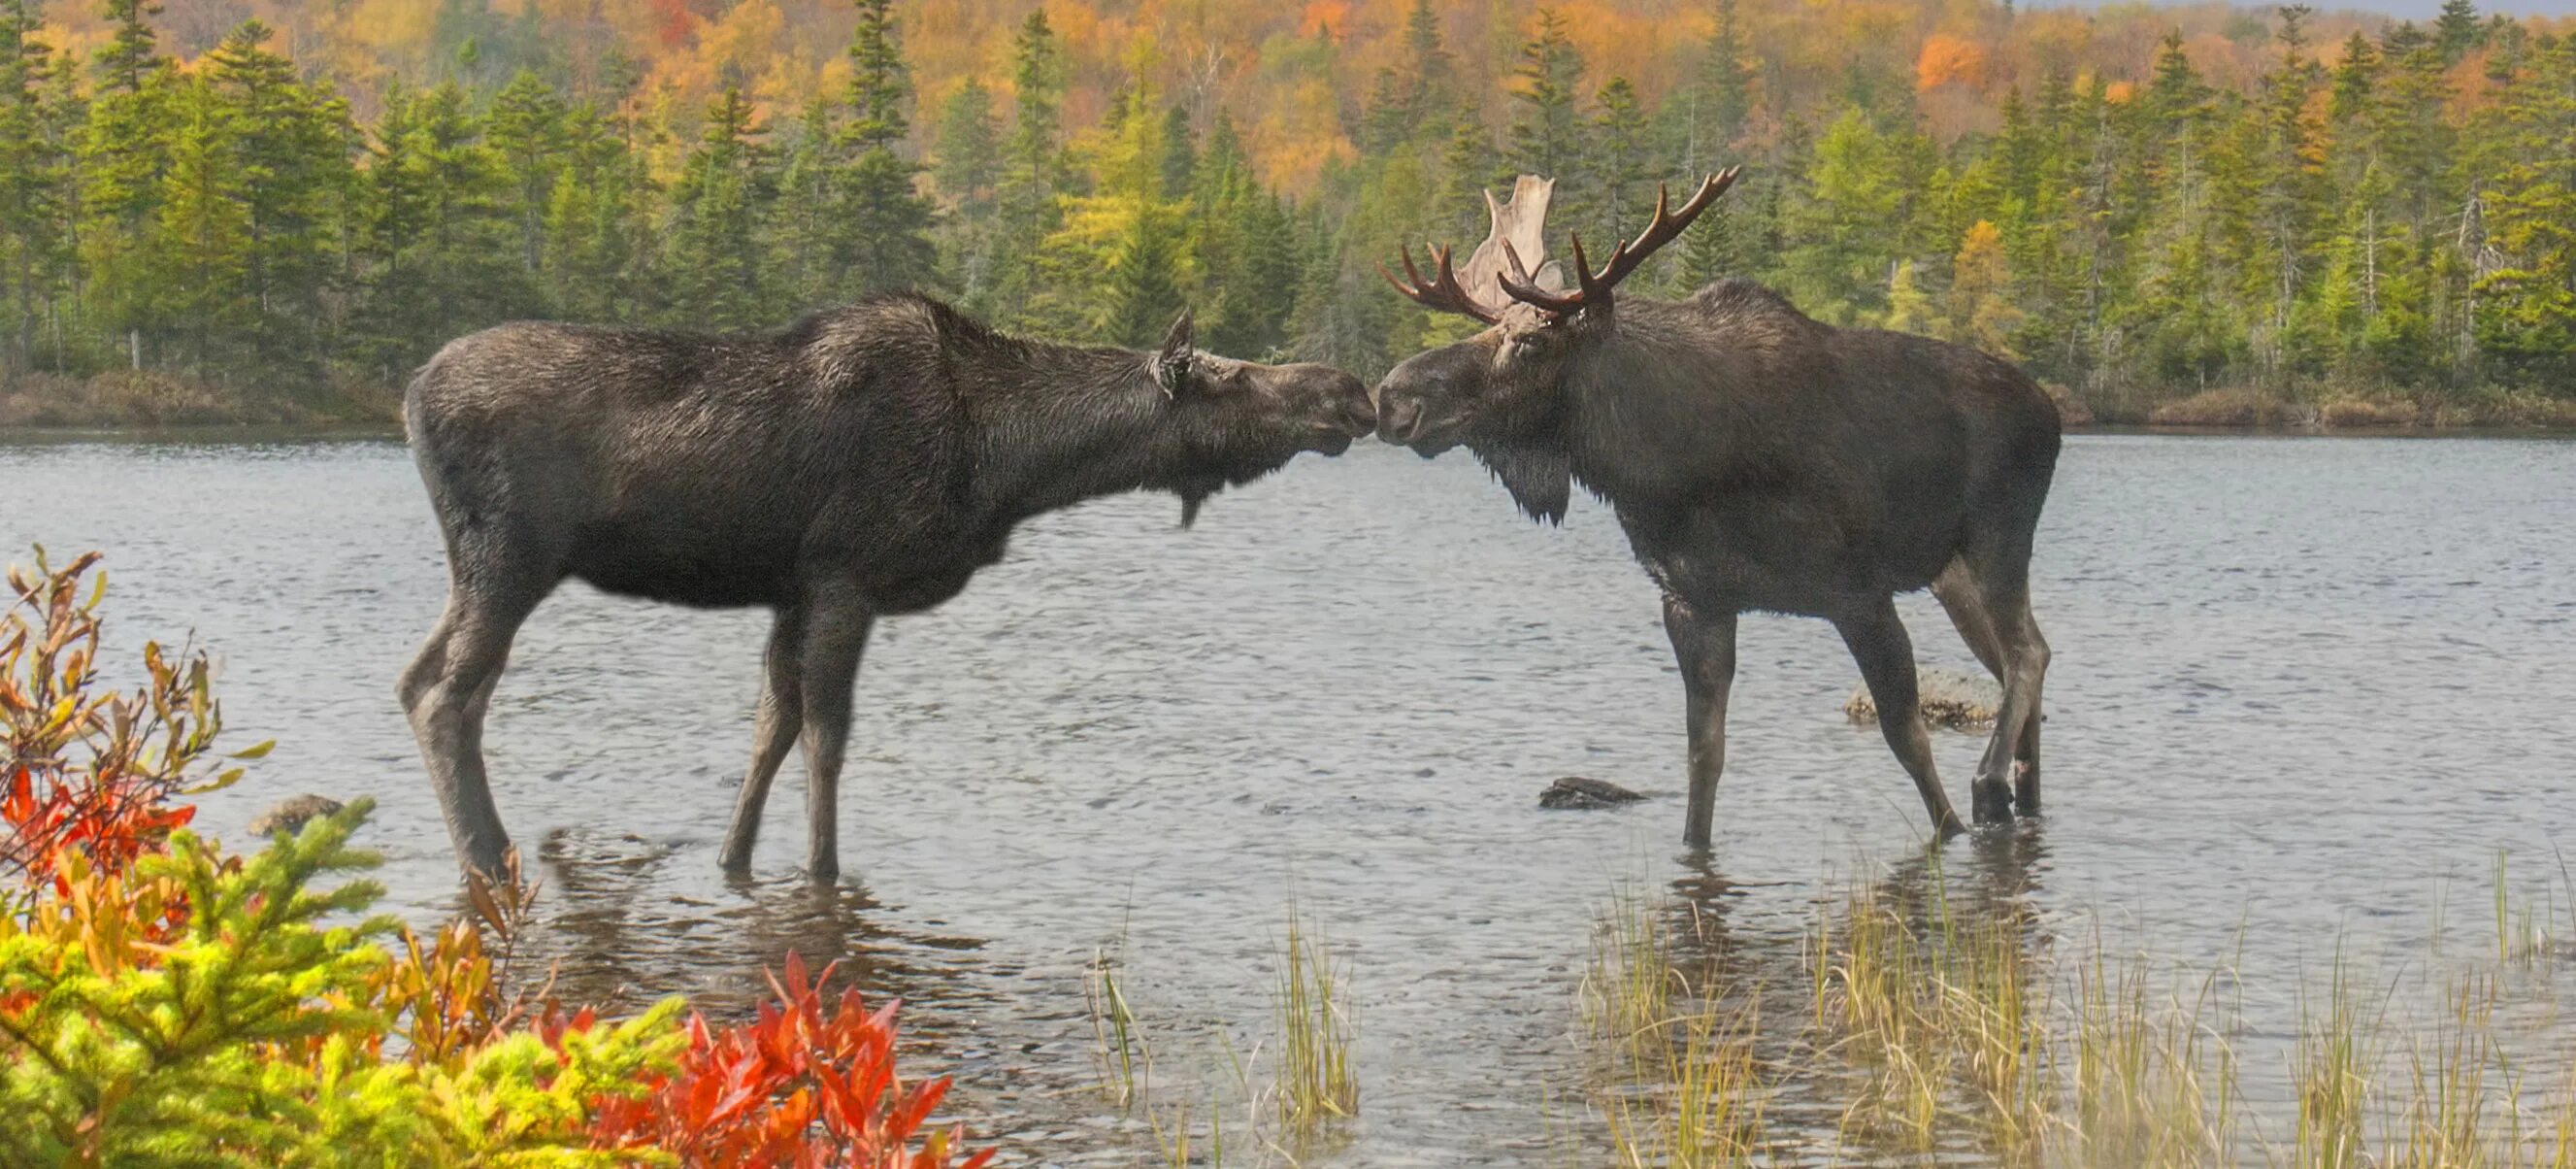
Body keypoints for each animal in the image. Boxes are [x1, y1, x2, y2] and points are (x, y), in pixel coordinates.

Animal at [1380, 171, 2061, 839]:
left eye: (1526, 343)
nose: (1393, 396)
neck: (1668, 467)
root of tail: (2052, 411)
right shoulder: (1694, 601)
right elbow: (1703, 758)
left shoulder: (1859, 594)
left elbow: (1910, 742)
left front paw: (1953, 824)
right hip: (1949, 575)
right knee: (2015, 660)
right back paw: (2024, 793)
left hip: (1999, 538)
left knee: (2028, 653)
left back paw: (1991, 784)